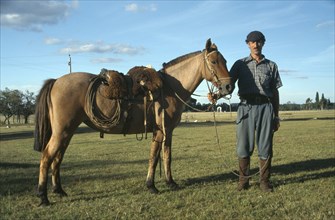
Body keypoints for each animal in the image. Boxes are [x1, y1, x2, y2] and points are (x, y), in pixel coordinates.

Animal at [34, 38, 234, 205]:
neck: (169, 88)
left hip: (67, 132)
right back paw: (43, 197)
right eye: (214, 62)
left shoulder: (167, 131)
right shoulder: (161, 131)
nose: (228, 86)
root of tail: (56, 81)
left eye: (225, 60)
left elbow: (166, 155)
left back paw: (59, 190)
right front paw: (151, 186)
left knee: (57, 158)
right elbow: (154, 156)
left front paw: (170, 182)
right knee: (47, 157)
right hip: (62, 131)